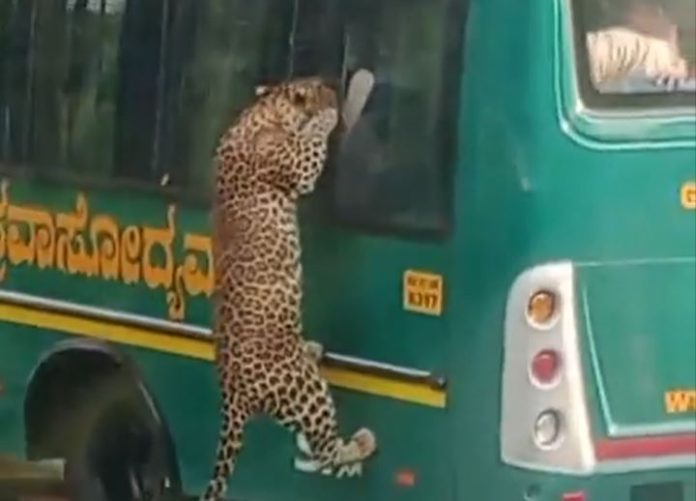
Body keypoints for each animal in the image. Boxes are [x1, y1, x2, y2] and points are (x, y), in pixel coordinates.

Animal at [200, 77, 377, 501]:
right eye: (321, 84)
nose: (333, 85)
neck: (263, 110)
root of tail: (231, 396)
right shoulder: (297, 164)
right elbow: (313, 140)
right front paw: (329, 112)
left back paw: (311, 349)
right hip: (306, 391)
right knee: (326, 452)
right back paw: (362, 442)